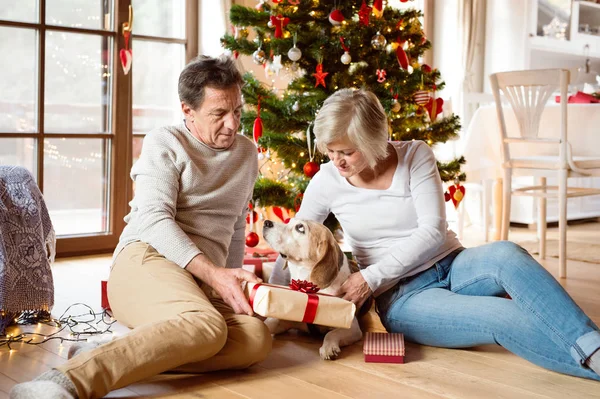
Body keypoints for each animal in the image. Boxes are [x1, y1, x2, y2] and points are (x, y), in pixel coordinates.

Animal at [264, 220, 366, 360]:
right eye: (289, 221)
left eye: (300, 228)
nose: (266, 222)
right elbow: (270, 322)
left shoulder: (353, 327)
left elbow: (331, 334)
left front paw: (329, 347)